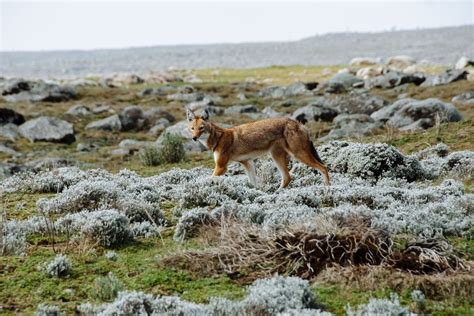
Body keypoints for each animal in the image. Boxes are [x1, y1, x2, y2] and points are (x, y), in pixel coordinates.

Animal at [185, 107, 330, 189]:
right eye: (192, 128)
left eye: (201, 128)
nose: (194, 138)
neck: (218, 138)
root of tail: (299, 124)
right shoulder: (248, 162)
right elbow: (253, 183)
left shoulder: (221, 167)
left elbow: (208, 178)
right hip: (277, 156)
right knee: (288, 178)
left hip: (296, 155)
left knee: (323, 167)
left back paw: (327, 188)